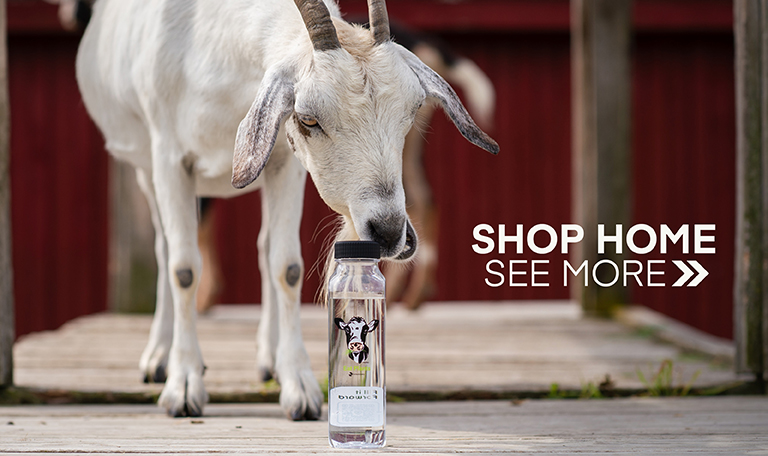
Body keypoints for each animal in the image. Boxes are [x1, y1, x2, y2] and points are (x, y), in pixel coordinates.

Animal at [76, 0, 498, 420]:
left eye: (411, 112)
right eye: (309, 118)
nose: (390, 232)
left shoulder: (285, 161)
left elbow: (287, 267)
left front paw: (299, 385)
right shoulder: (170, 158)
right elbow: (183, 269)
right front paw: (183, 386)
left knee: (264, 248)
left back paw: (269, 359)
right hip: (145, 168)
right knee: (164, 249)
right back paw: (158, 358)